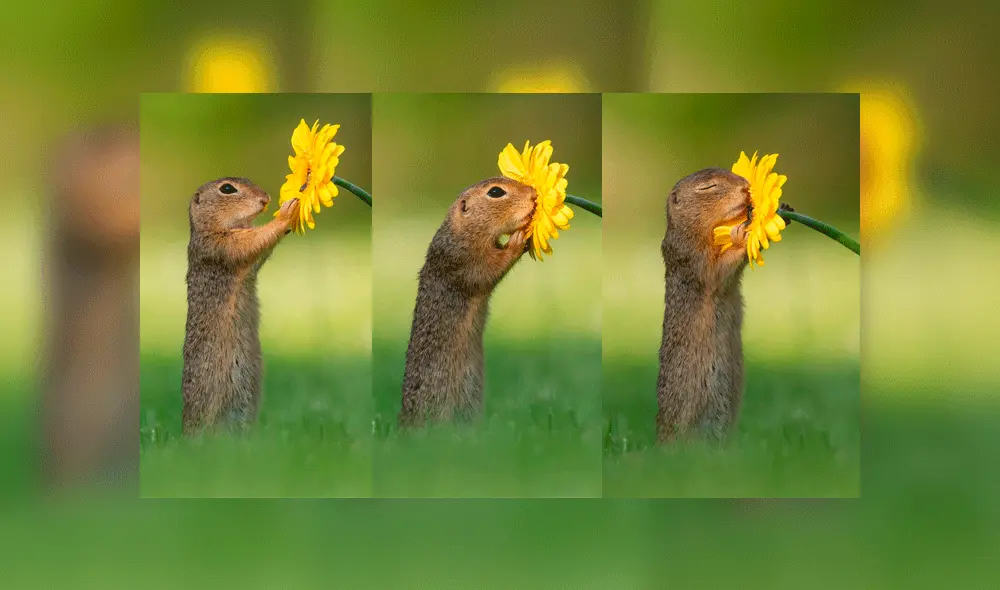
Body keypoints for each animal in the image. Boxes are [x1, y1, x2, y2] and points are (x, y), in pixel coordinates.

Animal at [181, 177, 300, 434]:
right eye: (227, 189)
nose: (265, 199)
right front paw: (286, 213)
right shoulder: (220, 245)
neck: (210, 227)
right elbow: (252, 241)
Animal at [398, 176, 535, 426]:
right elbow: (489, 269)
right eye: (496, 192)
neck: (462, 231)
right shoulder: (463, 261)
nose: (533, 194)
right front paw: (518, 240)